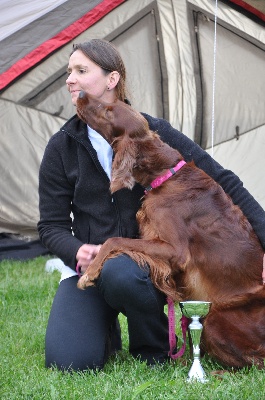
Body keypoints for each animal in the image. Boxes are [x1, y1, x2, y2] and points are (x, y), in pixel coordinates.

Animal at [75, 90, 262, 368]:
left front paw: (89, 272)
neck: (165, 176)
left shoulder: (176, 251)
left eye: (109, 110)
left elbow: (113, 241)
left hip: (215, 315)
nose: (81, 93)